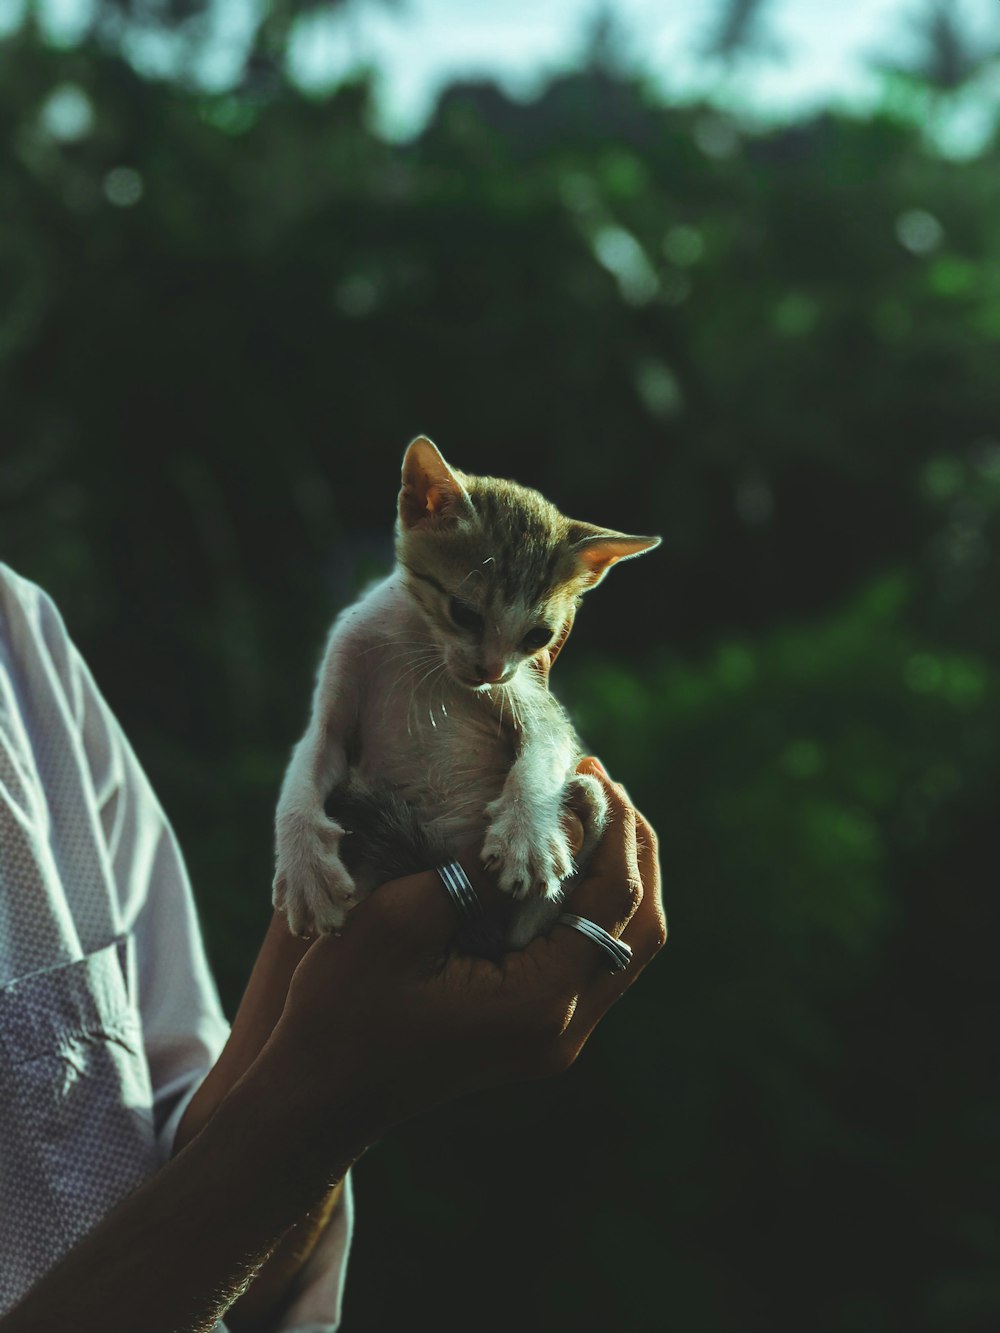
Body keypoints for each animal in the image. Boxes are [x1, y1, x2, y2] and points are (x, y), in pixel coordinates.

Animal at [274, 437, 661, 949]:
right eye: (463, 613)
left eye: (538, 636)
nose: (491, 670)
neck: (420, 644)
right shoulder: (336, 698)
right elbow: (302, 774)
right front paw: (305, 869)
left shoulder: (531, 696)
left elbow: (545, 749)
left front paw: (527, 834)